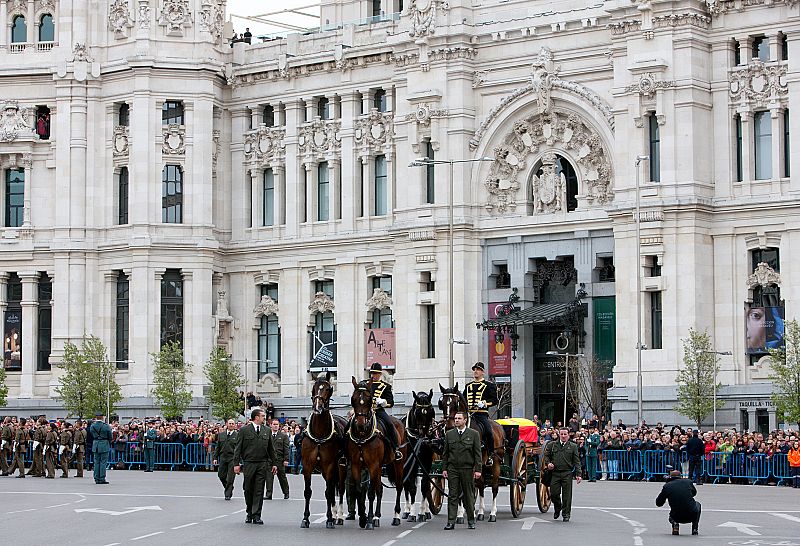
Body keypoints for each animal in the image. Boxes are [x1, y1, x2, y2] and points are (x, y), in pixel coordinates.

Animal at [300, 370, 346, 528]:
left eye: (327, 388)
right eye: (314, 389)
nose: (318, 408)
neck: (319, 433)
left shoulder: (329, 466)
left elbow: (329, 492)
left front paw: (330, 519)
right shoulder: (307, 466)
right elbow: (308, 492)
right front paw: (305, 518)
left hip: (341, 467)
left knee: (340, 489)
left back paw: (338, 516)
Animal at [346, 374, 410, 528]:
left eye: (369, 400)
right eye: (353, 399)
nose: (361, 424)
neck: (363, 436)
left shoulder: (373, 465)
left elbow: (370, 492)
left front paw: (368, 519)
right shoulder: (357, 465)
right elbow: (359, 490)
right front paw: (364, 518)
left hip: (398, 464)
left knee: (399, 486)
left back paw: (396, 516)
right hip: (381, 466)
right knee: (379, 488)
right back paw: (377, 516)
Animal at [438, 380, 506, 520]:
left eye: (455, 403)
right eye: (442, 403)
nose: (448, 427)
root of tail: (499, 426)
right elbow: (460, 488)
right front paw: (460, 514)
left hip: (495, 462)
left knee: (494, 486)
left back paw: (492, 513)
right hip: (483, 465)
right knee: (481, 485)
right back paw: (480, 512)